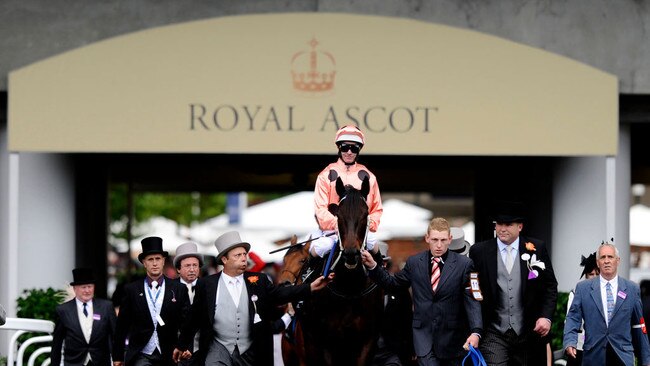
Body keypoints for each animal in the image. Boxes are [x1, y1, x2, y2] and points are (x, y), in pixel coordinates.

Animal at [280, 177, 382, 366]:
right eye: (339, 215)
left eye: (365, 215)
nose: (351, 254)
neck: (350, 288)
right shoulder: (325, 343)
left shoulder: (367, 341)